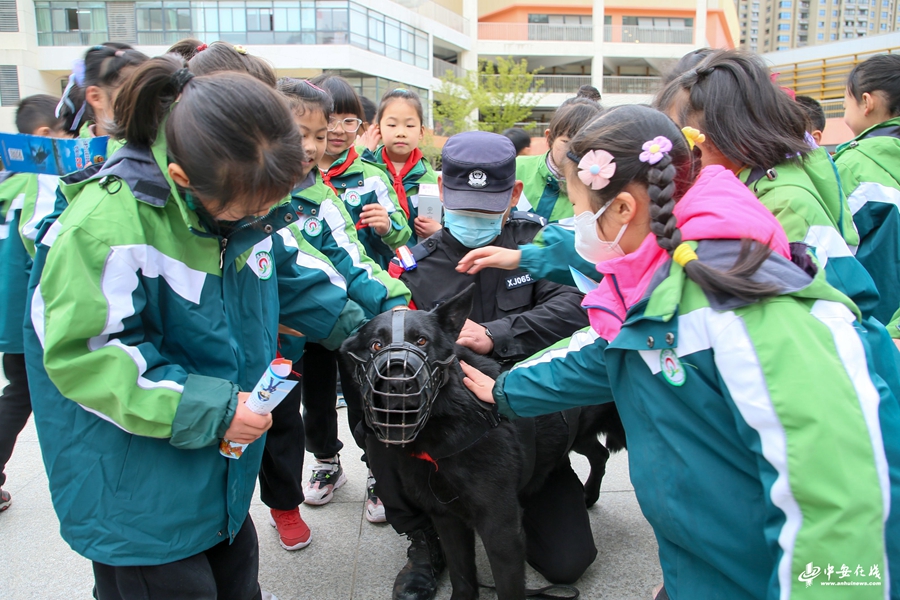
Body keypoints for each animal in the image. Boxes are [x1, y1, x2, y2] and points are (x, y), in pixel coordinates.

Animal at [340, 285, 625, 599]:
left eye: (421, 340)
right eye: (376, 345)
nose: (399, 384)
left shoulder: (500, 528)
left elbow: (507, 588)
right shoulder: (446, 519)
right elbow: (462, 576)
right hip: (577, 435)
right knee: (599, 453)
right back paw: (589, 494)